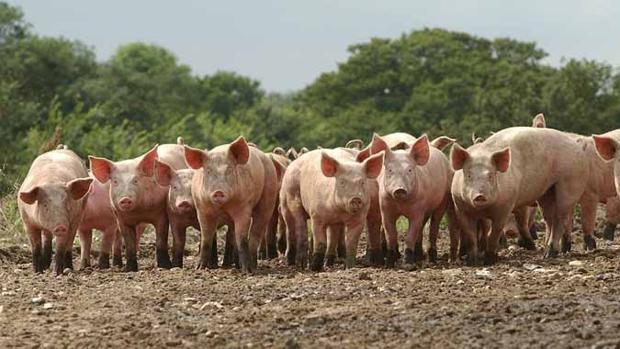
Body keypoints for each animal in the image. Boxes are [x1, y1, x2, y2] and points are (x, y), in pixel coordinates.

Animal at [183, 136, 278, 272]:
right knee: (231, 235)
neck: (223, 207)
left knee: (255, 234)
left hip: (269, 197)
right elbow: (206, 239)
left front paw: (247, 271)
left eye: (229, 170)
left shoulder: (244, 207)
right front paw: (199, 268)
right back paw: (230, 266)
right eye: (208, 171)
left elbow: (242, 239)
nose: (218, 192)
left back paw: (252, 267)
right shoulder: (202, 209)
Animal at [370, 133, 458, 264]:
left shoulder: (418, 210)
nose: (400, 189)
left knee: (433, 226)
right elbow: (391, 234)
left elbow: (410, 235)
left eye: (410, 170)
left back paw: (431, 259)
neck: (400, 203)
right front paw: (389, 262)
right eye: (390, 170)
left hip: (443, 200)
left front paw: (408, 263)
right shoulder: (385, 209)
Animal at [450, 127, 588, 264]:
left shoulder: (505, 207)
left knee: (560, 218)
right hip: (547, 191)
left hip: (570, 183)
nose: (480, 196)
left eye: (491, 176)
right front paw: (472, 262)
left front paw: (490, 261)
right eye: (468, 175)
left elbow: (494, 233)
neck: (483, 210)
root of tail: (578, 146)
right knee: (549, 219)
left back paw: (548, 254)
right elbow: (470, 235)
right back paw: (545, 251)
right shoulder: (460, 208)